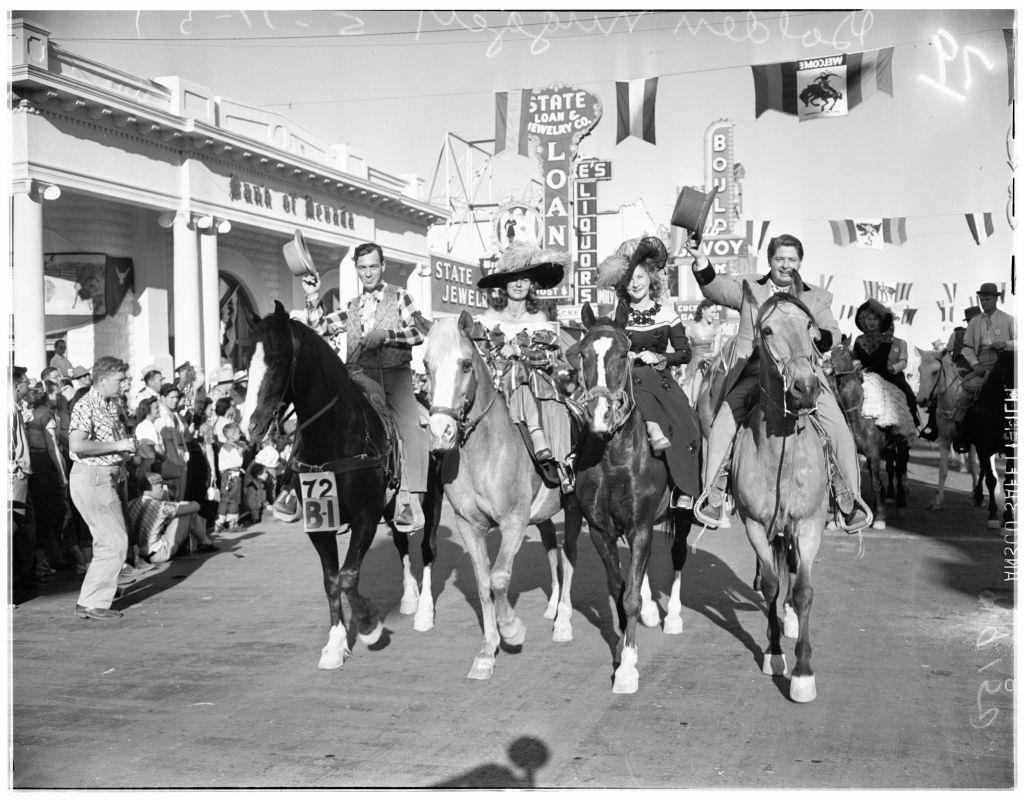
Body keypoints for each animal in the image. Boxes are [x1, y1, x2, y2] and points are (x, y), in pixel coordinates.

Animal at [243, 303, 444, 671]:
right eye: (246, 358)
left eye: (277, 358)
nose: (250, 425)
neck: (335, 436)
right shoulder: (320, 523)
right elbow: (331, 581)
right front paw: (335, 645)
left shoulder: (365, 518)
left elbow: (348, 576)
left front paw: (368, 625)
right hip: (393, 506)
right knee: (400, 542)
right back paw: (409, 598)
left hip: (433, 498)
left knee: (427, 549)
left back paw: (423, 612)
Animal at [421, 311, 585, 680]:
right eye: (426, 364)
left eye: (466, 364)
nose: (441, 432)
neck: (484, 450)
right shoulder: (468, 525)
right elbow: (483, 583)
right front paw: (487, 651)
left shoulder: (513, 522)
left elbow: (498, 578)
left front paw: (512, 630)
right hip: (542, 516)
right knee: (552, 550)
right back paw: (553, 608)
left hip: (573, 508)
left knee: (569, 556)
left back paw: (564, 622)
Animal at [569, 303, 696, 696]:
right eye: (582, 353)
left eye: (624, 353)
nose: (599, 415)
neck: (613, 456)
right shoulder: (601, 530)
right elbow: (619, 589)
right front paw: (626, 644)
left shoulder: (640, 526)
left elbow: (631, 597)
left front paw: (627, 668)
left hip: (682, 514)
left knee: (678, 555)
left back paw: (672, 616)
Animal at [823, 340, 913, 528]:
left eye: (843, 351)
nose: (824, 362)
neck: (857, 414)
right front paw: (840, 519)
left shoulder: (874, 453)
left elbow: (876, 484)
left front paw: (879, 518)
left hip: (902, 446)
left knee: (899, 470)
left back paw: (900, 504)